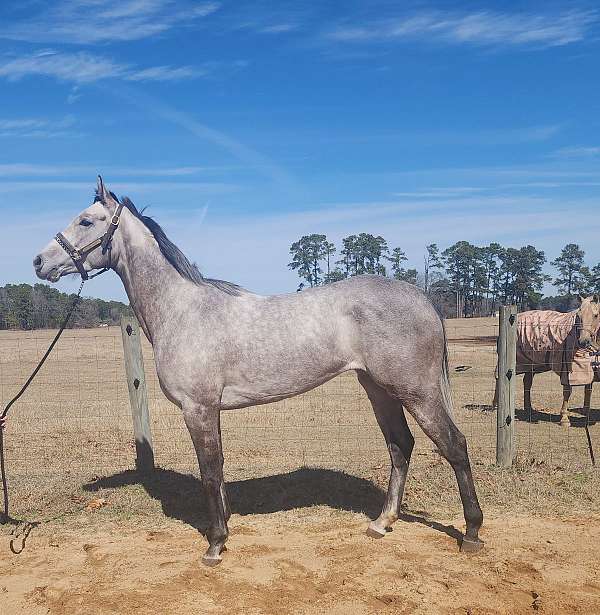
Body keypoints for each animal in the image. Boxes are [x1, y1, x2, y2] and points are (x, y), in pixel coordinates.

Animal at [31, 178, 482, 568]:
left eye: (87, 220)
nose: (38, 261)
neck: (182, 310)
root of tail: (421, 297)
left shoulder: (197, 408)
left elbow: (210, 472)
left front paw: (215, 545)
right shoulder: (209, 410)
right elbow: (218, 468)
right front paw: (226, 527)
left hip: (416, 390)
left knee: (454, 445)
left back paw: (472, 534)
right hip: (378, 388)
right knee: (400, 446)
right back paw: (382, 523)